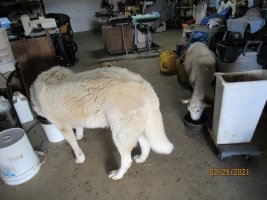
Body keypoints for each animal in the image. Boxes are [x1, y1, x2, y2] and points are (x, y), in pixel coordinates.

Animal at [30, 65, 174, 180]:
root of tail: (146, 86)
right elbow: (79, 128)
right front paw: (79, 135)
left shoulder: (63, 126)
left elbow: (74, 145)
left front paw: (79, 158)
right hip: (134, 130)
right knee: (146, 145)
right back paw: (141, 159)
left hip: (120, 134)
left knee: (127, 161)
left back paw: (117, 175)